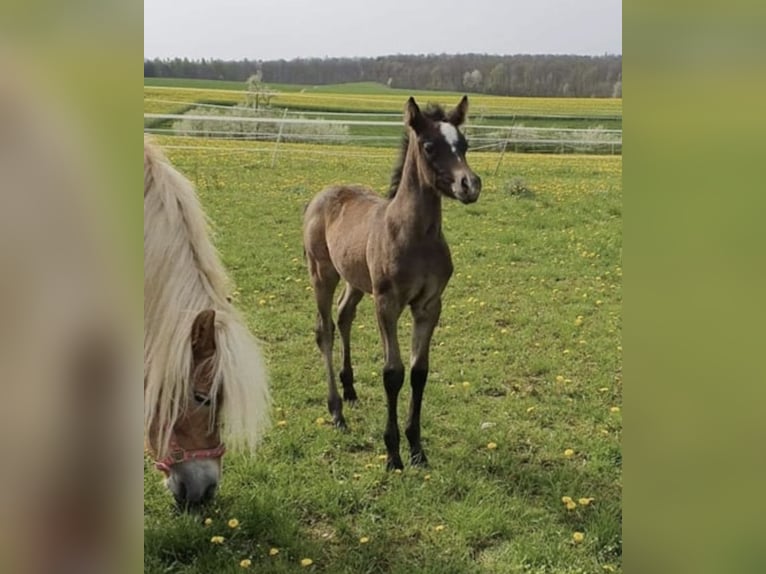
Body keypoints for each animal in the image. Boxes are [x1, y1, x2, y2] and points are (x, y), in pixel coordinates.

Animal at [304, 95, 484, 472]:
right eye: (429, 146)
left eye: (464, 145)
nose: (470, 185)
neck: (415, 236)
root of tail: (323, 193)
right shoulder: (387, 303)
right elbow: (393, 373)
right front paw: (393, 453)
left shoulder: (429, 305)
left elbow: (418, 372)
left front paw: (417, 449)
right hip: (322, 273)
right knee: (325, 329)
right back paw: (336, 411)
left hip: (356, 279)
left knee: (344, 315)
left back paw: (350, 390)